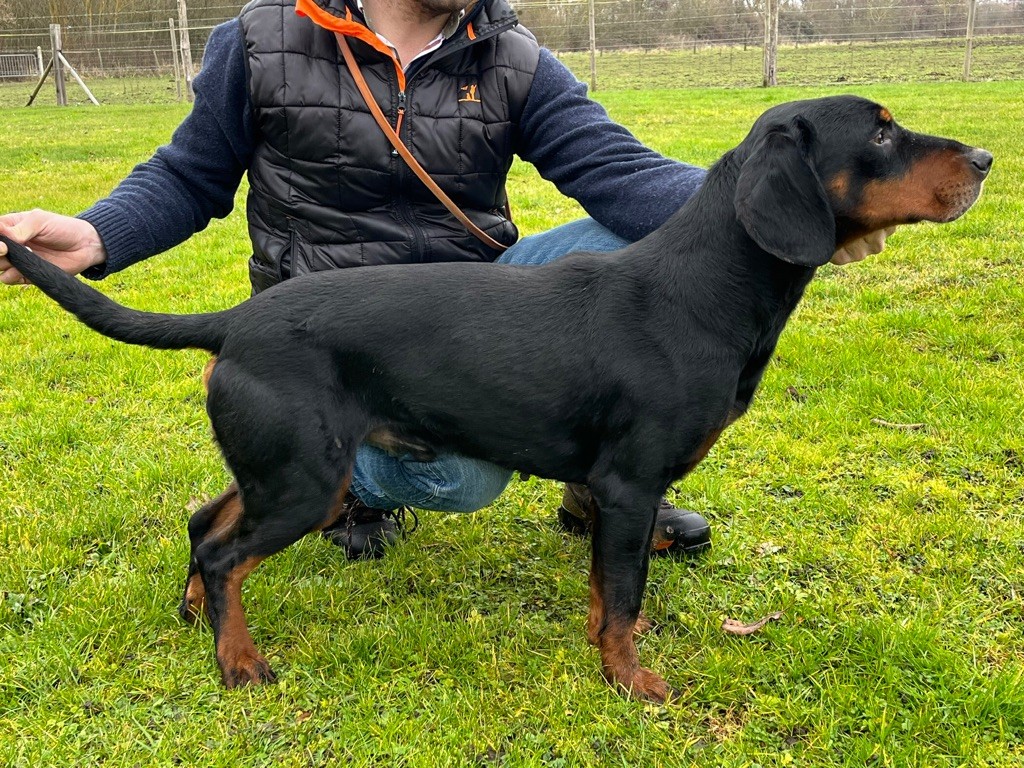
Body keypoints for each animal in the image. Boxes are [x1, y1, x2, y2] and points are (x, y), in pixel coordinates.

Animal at [4, 96, 987, 704]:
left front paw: (607, 657)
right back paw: (239, 663)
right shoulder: (632, 485)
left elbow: (605, 592)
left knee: (204, 521)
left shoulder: (625, 497)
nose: (983, 156)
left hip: (286, 466)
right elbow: (625, 597)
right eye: (881, 134)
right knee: (223, 552)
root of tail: (233, 323)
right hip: (304, 482)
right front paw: (634, 684)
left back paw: (195, 620)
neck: (704, 288)